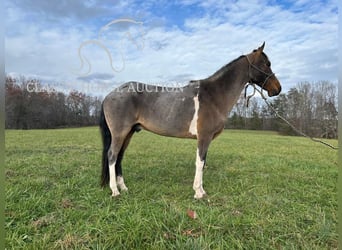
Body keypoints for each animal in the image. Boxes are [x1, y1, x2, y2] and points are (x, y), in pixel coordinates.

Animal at [98, 42, 280, 199]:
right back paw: (115, 191)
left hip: (128, 133)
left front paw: (201, 190)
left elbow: (203, 163)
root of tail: (109, 95)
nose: (278, 89)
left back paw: (123, 188)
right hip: (120, 133)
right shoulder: (204, 137)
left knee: (119, 157)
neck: (214, 95)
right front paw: (198, 192)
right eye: (266, 64)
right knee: (112, 156)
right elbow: (200, 162)